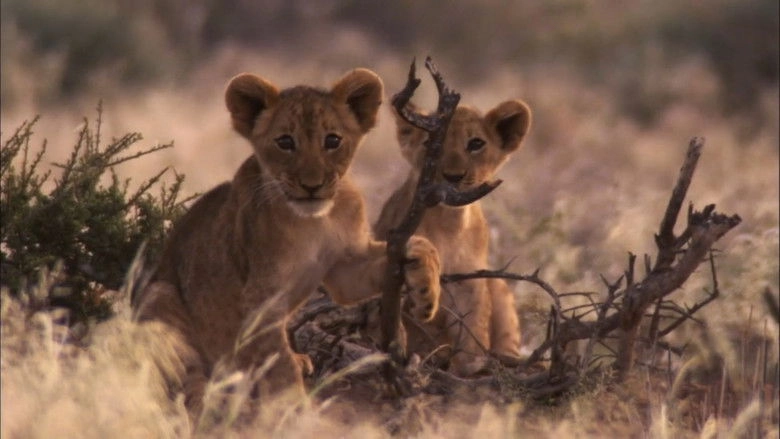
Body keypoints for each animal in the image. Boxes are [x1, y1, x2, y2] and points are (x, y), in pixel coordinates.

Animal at [132, 68, 441, 412]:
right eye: (285, 142)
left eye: (332, 140)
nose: (312, 185)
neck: (313, 222)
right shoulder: (260, 297)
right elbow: (278, 363)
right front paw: (294, 407)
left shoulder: (346, 270)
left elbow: (423, 244)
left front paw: (426, 295)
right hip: (159, 295)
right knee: (186, 379)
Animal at [374, 99, 531, 376]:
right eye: (430, 143)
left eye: (476, 143)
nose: (453, 176)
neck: (450, 221)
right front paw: (425, 296)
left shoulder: (471, 282)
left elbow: (475, 326)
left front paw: (471, 366)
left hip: (499, 286)